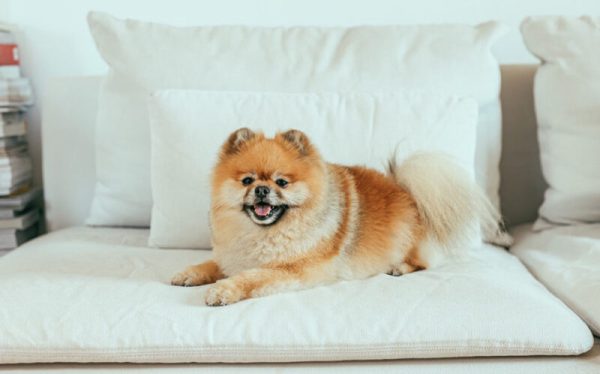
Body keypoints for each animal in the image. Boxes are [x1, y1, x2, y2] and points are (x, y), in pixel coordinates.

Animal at [171, 127, 504, 306]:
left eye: (282, 182)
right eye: (247, 181)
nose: (262, 190)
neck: (265, 233)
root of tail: (407, 190)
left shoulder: (293, 269)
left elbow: (250, 278)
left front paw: (224, 290)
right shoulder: (234, 254)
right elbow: (214, 264)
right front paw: (191, 273)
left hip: (410, 243)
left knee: (423, 262)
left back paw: (399, 267)